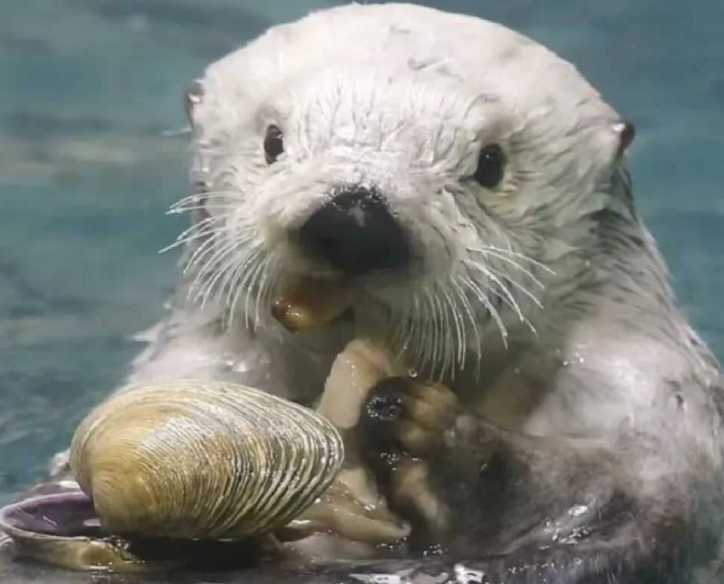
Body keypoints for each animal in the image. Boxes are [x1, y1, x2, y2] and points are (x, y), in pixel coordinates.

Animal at [41, 3, 724, 583]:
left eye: (491, 164)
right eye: (273, 142)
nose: (354, 219)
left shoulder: (645, 394)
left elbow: (626, 500)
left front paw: (439, 446)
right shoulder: (197, 363)